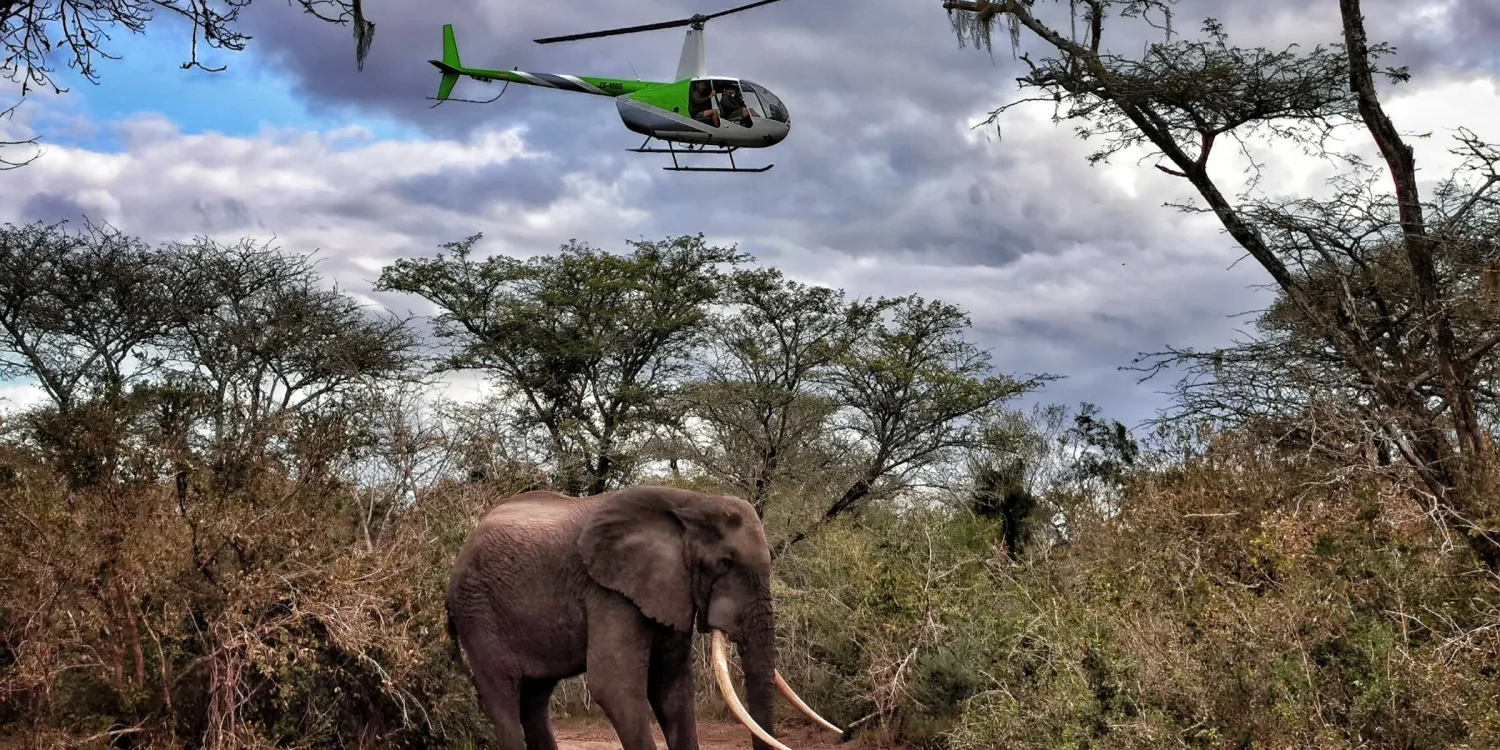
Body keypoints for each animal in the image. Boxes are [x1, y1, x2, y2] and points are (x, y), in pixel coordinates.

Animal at [444, 484, 843, 750]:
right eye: (724, 563)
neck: (689, 503)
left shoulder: (671, 589)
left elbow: (672, 688)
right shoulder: (609, 592)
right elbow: (615, 687)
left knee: (535, 699)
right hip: (477, 613)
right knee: (503, 697)